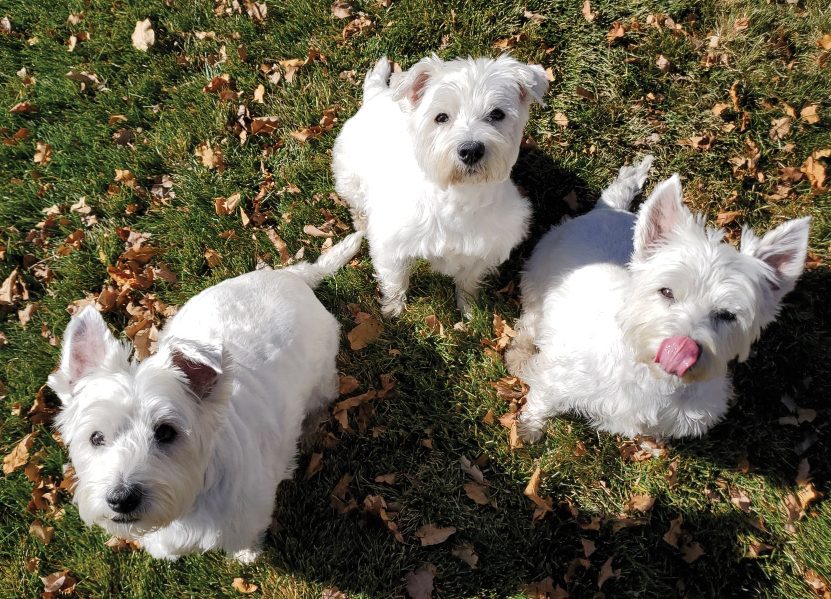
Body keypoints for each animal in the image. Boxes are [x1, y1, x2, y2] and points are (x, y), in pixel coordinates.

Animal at [48, 231, 364, 564]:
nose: (121, 500)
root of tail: (291, 276)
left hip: (322, 375)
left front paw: (246, 555)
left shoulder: (249, 516)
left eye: (166, 432)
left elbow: (246, 538)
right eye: (96, 437)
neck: (191, 499)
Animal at [332, 55, 552, 316]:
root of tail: (377, 94)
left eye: (497, 114)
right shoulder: (391, 245)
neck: (459, 196)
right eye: (441, 117)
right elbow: (395, 279)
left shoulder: (484, 250)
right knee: (356, 204)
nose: (471, 150)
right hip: (350, 177)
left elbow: (468, 280)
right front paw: (393, 309)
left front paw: (469, 308)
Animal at [508, 157, 812, 442]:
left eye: (728, 315)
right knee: (530, 322)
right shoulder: (558, 378)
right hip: (538, 276)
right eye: (666, 292)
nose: (683, 349)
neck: (650, 377)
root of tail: (608, 209)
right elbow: (541, 402)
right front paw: (528, 429)